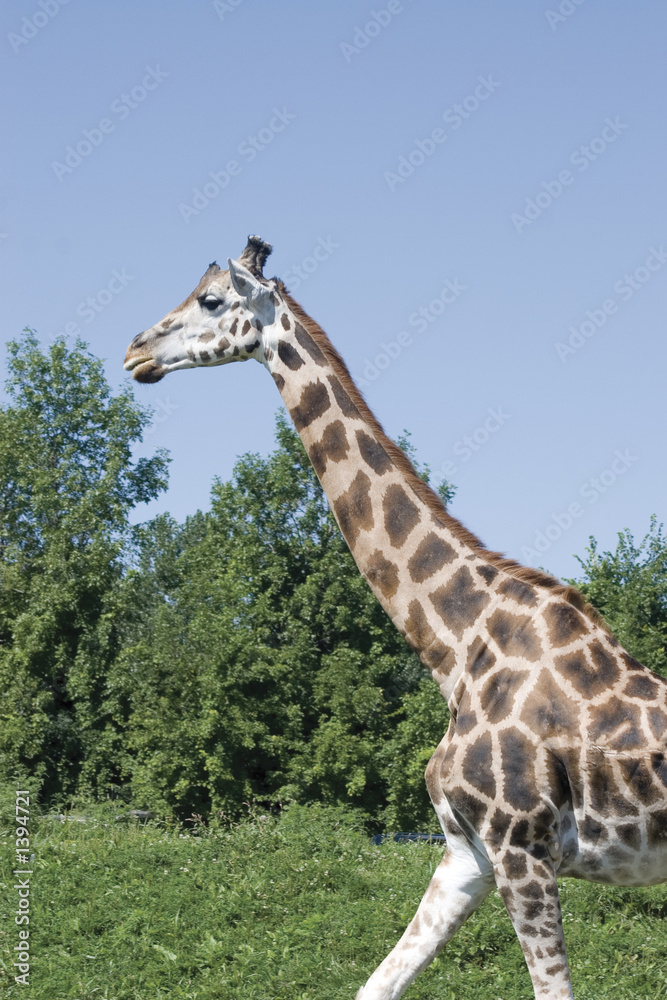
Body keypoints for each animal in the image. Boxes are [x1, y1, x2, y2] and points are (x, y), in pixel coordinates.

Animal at [124, 236, 667, 1000]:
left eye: (210, 299)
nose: (135, 351)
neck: (454, 645)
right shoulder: (467, 853)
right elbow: (374, 985)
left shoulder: (521, 847)